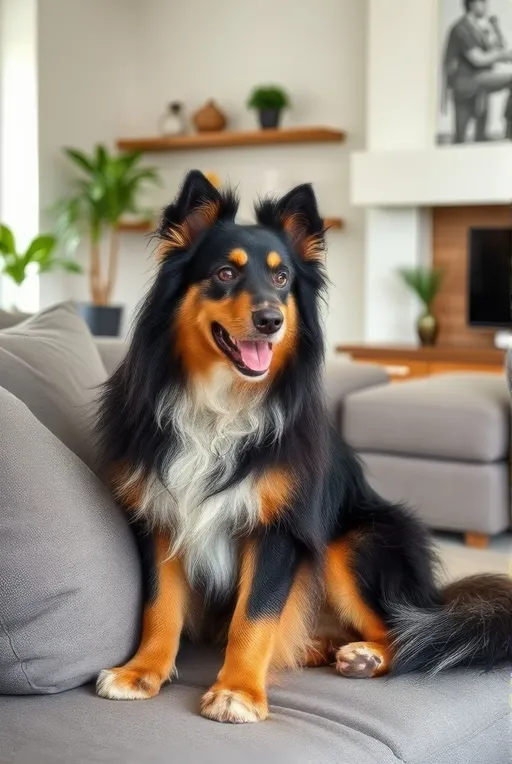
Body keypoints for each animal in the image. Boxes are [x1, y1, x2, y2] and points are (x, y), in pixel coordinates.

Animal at [95, 172, 512, 724]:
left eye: (281, 279)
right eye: (225, 272)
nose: (271, 320)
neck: (222, 402)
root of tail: (435, 596)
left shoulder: (278, 527)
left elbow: (254, 615)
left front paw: (238, 691)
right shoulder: (161, 513)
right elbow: (160, 605)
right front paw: (142, 671)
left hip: (354, 543)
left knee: (411, 635)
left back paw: (364, 655)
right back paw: (317, 647)